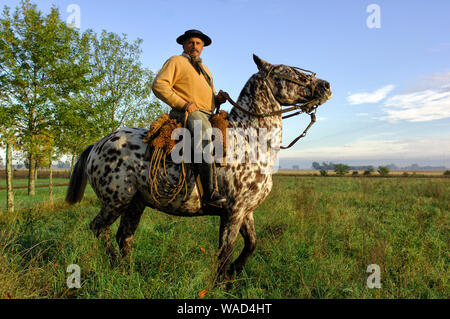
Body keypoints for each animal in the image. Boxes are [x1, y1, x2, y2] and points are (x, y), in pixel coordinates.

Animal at [67, 55, 334, 284]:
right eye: (288, 72)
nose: (326, 86)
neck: (249, 141)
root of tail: (97, 145)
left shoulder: (246, 211)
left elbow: (251, 244)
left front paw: (233, 274)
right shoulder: (233, 212)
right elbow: (225, 251)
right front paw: (220, 284)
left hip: (136, 203)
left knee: (124, 236)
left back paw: (128, 273)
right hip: (116, 202)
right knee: (99, 229)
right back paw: (117, 265)